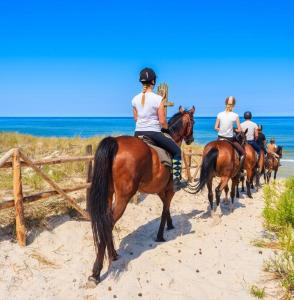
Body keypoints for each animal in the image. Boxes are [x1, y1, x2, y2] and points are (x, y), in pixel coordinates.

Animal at [87, 105, 195, 284]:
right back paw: (96, 272)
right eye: (193, 122)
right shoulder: (170, 189)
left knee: (105, 222)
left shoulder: (160, 190)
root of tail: (115, 142)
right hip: (123, 197)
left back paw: (113, 255)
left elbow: (166, 208)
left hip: (109, 194)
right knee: (108, 223)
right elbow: (165, 209)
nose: (191, 139)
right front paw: (161, 235)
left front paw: (170, 224)